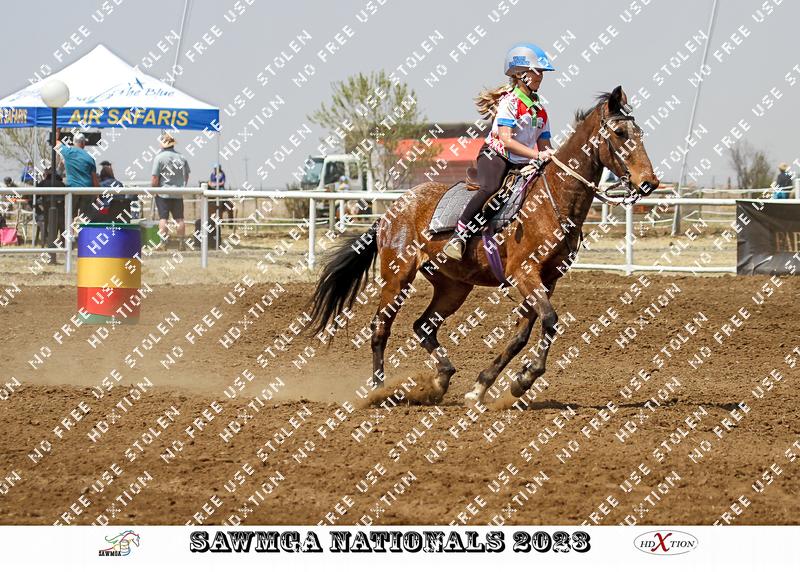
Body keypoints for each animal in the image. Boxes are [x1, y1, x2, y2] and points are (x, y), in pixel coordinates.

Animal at [310, 86, 659, 404]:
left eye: (640, 132)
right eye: (619, 132)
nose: (649, 183)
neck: (552, 200)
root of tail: (391, 211)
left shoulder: (547, 279)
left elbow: (522, 333)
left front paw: (487, 385)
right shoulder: (524, 273)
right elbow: (549, 321)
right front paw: (525, 378)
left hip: (453, 287)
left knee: (423, 327)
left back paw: (441, 379)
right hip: (398, 276)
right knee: (380, 328)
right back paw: (378, 391)